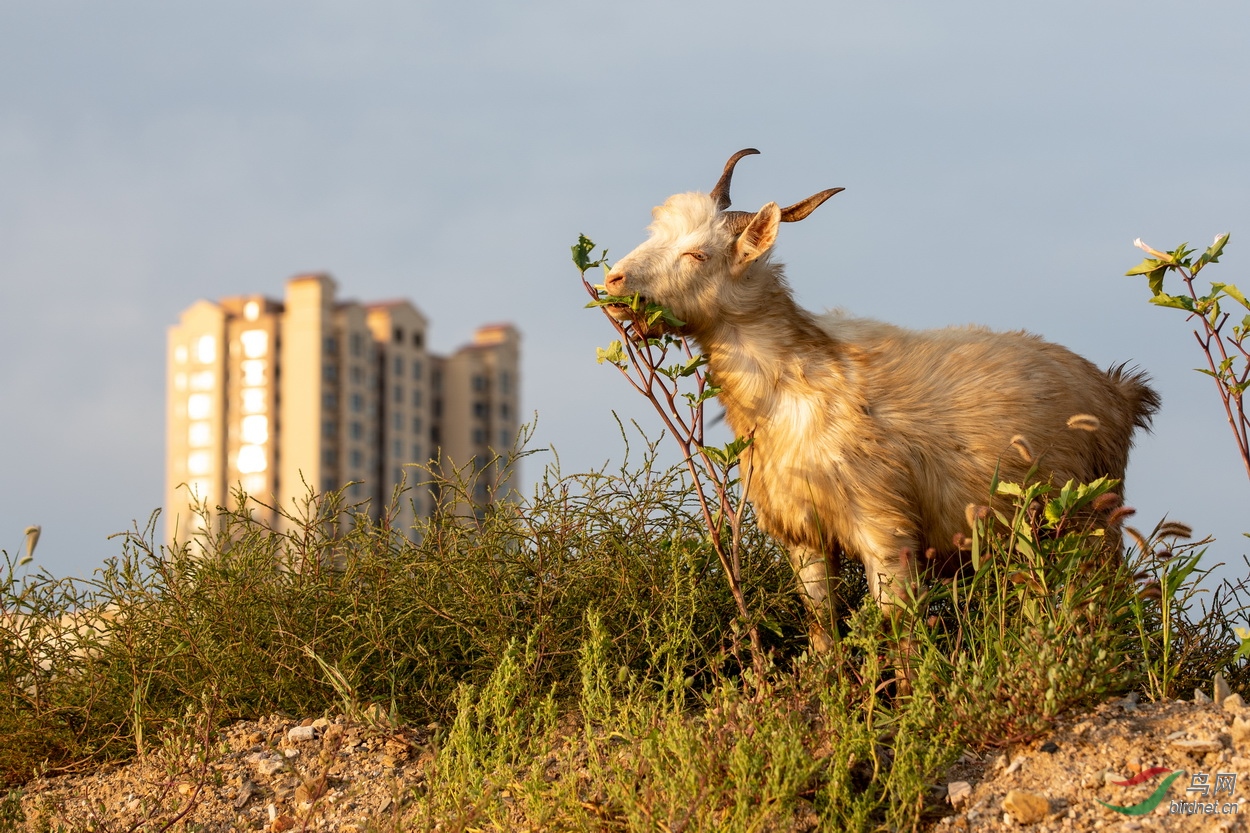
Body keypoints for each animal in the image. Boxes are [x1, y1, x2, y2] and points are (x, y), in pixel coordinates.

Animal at [600, 145, 1155, 645]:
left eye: (698, 253)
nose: (612, 280)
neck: (800, 385)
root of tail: (1120, 391)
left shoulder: (886, 528)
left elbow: (899, 630)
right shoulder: (805, 536)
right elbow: (821, 630)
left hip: (1094, 522)